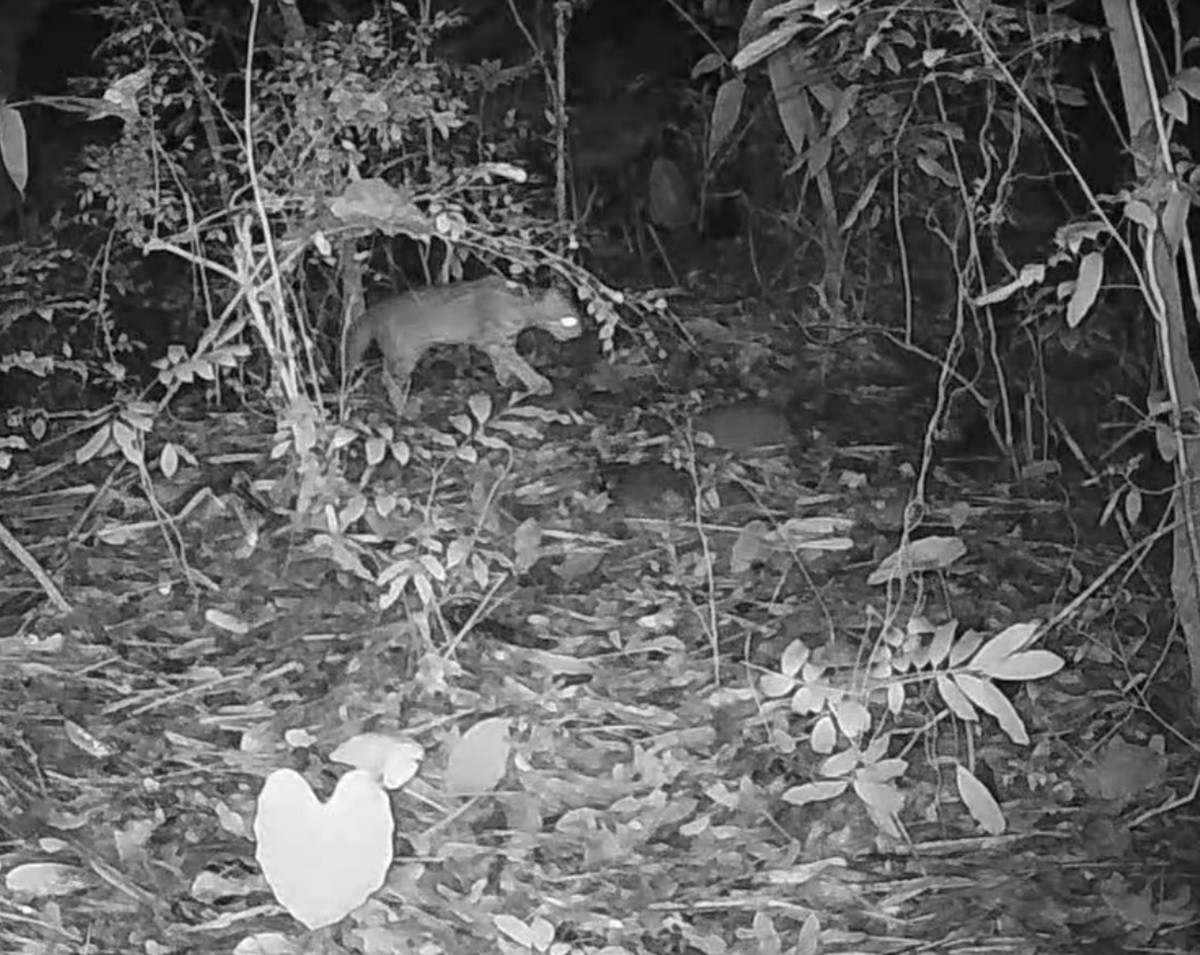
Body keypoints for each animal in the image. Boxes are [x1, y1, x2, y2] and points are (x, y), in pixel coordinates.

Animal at [343, 275, 585, 395]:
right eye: (569, 319)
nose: (580, 330)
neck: (520, 307)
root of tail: (376, 309)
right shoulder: (492, 341)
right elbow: (518, 362)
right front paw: (539, 384)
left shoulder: (501, 342)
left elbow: (506, 362)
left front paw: (505, 379)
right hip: (404, 354)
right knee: (388, 377)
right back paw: (403, 408)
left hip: (399, 353)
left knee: (385, 372)